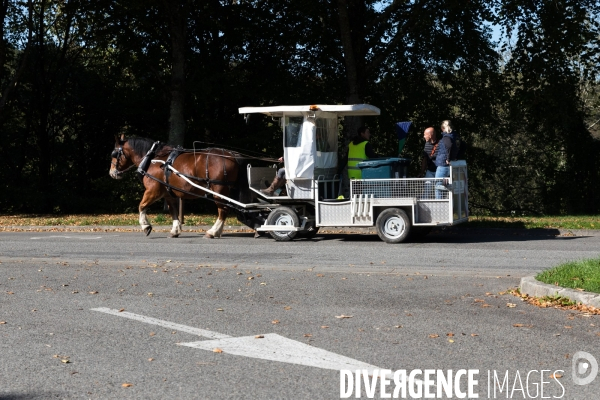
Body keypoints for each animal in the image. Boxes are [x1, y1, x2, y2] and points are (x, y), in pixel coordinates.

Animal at [109, 136, 248, 239]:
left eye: (114, 154)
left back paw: (213, 232)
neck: (153, 158)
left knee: (223, 210)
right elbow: (173, 211)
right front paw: (175, 230)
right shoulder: (168, 194)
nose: (111, 173)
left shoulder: (153, 191)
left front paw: (146, 226)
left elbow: (141, 206)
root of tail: (232, 154)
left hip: (219, 189)